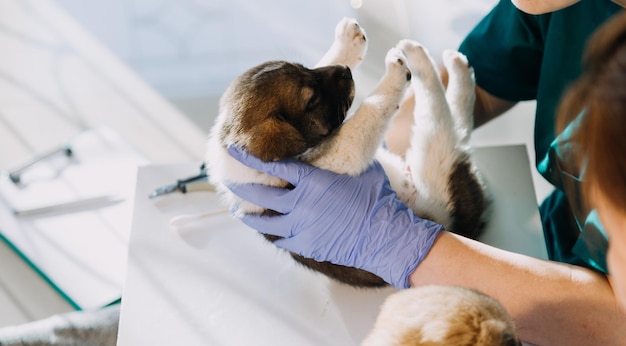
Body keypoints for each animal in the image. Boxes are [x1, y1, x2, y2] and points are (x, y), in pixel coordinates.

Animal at [205, 18, 488, 288]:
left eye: (305, 68)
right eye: (312, 98)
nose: (346, 71)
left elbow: (329, 64)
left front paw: (346, 43)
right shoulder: (340, 156)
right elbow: (369, 109)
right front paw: (394, 73)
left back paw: (441, 58)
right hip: (435, 163)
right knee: (445, 112)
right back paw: (430, 60)